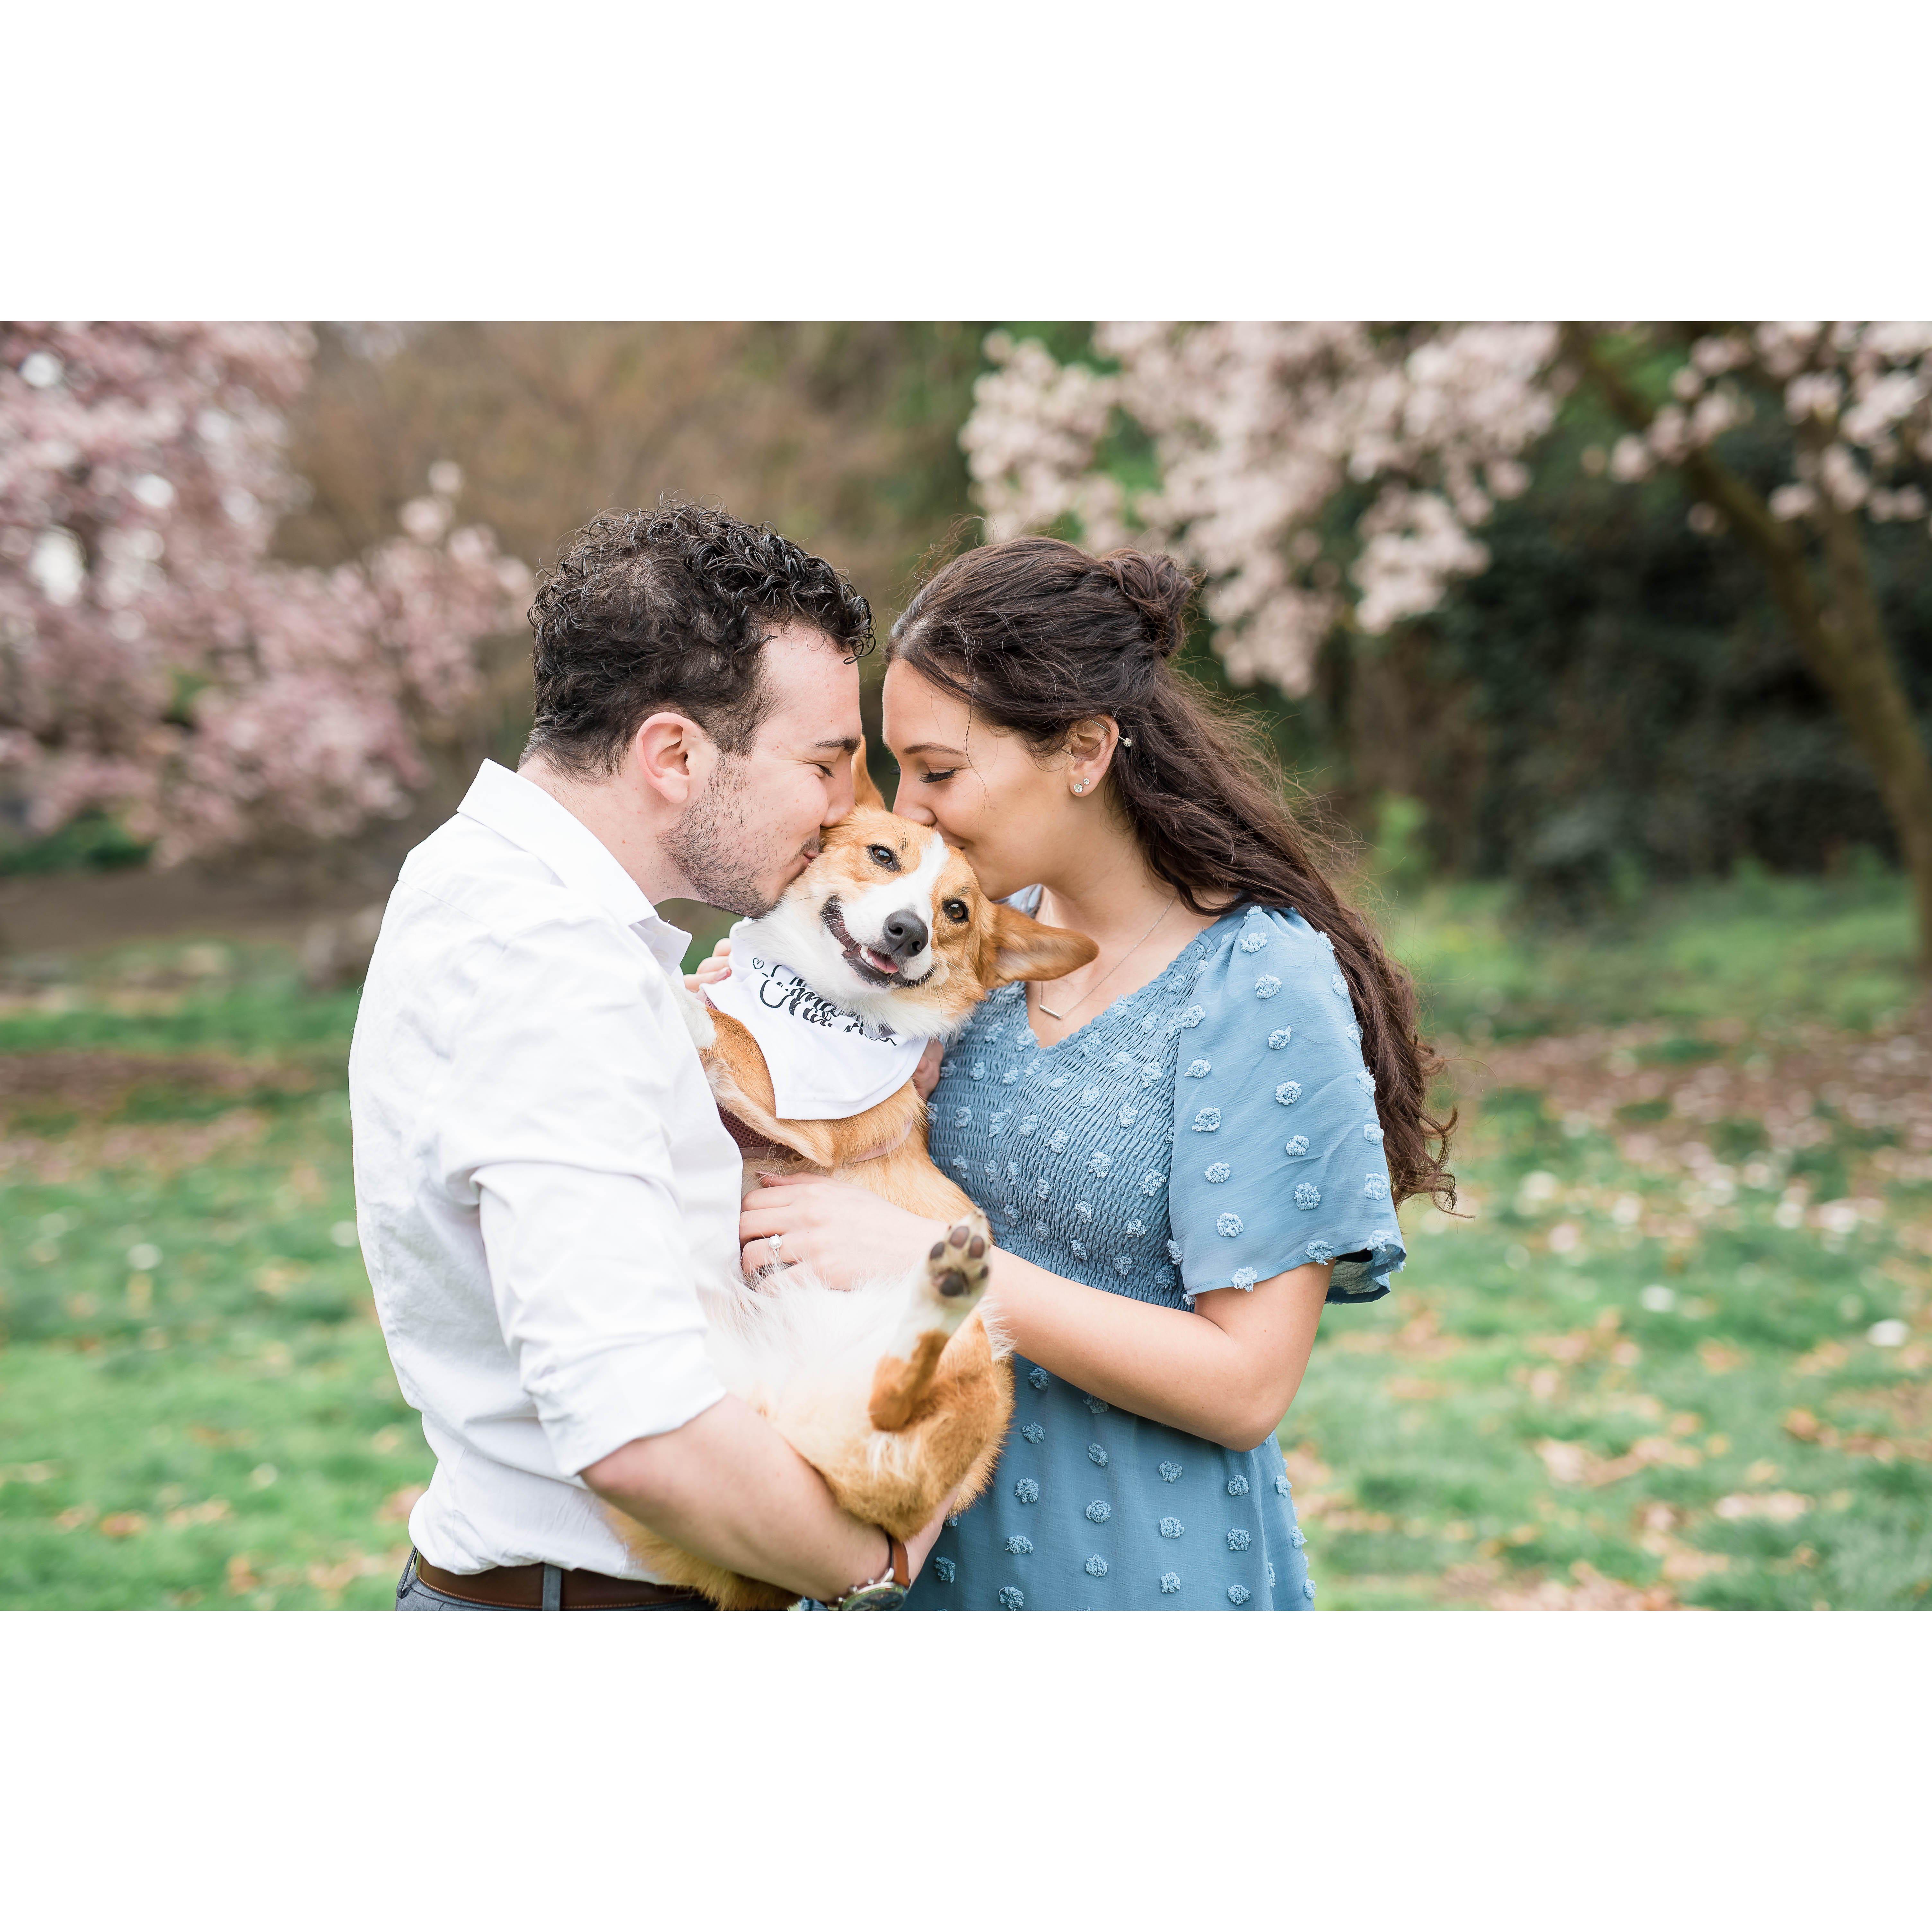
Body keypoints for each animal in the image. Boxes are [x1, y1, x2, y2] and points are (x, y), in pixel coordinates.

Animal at [618, 746, 1105, 1607]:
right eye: (882, 856)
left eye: (955, 911)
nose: (908, 931)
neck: (822, 1004)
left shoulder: (806, 1118)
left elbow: (732, 1032)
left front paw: (687, 997)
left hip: (975, 1369)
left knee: (896, 1398)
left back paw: (944, 1289)